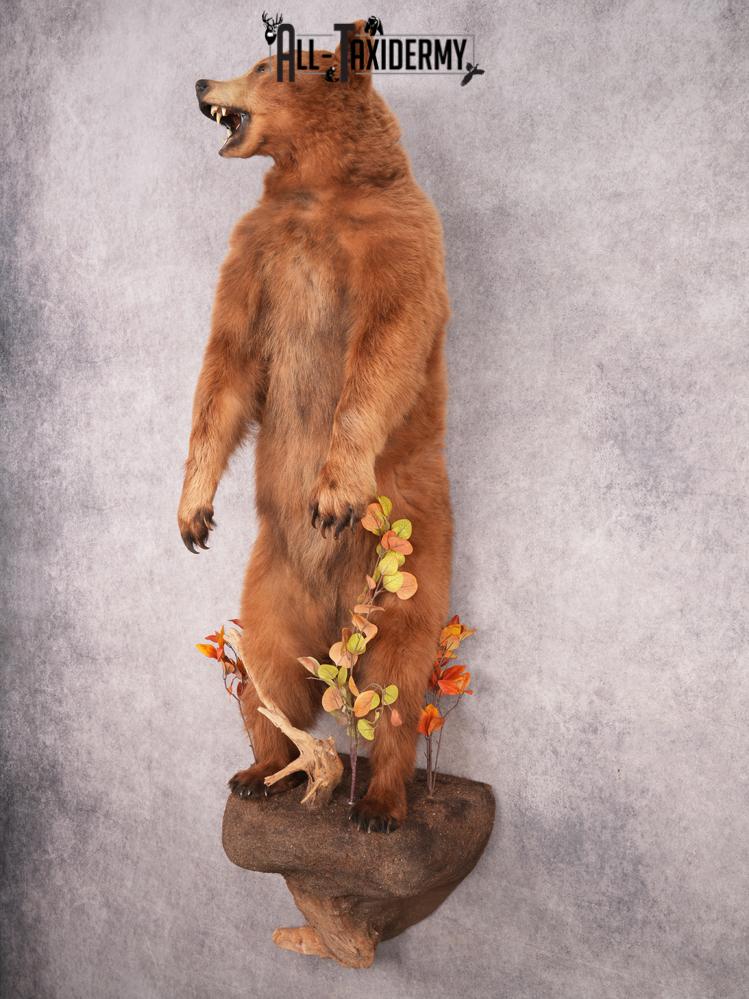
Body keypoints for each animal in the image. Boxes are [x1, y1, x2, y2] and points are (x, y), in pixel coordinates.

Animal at [179, 21, 452, 832]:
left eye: (264, 62)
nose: (199, 81)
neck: (316, 191)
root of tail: (336, 622)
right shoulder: (254, 252)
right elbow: (227, 365)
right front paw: (192, 512)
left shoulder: (398, 238)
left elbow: (385, 347)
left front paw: (331, 493)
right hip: (266, 591)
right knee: (268, 680)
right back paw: (259, 772)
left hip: (412, 568)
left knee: (398, 683)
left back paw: (381, 803)